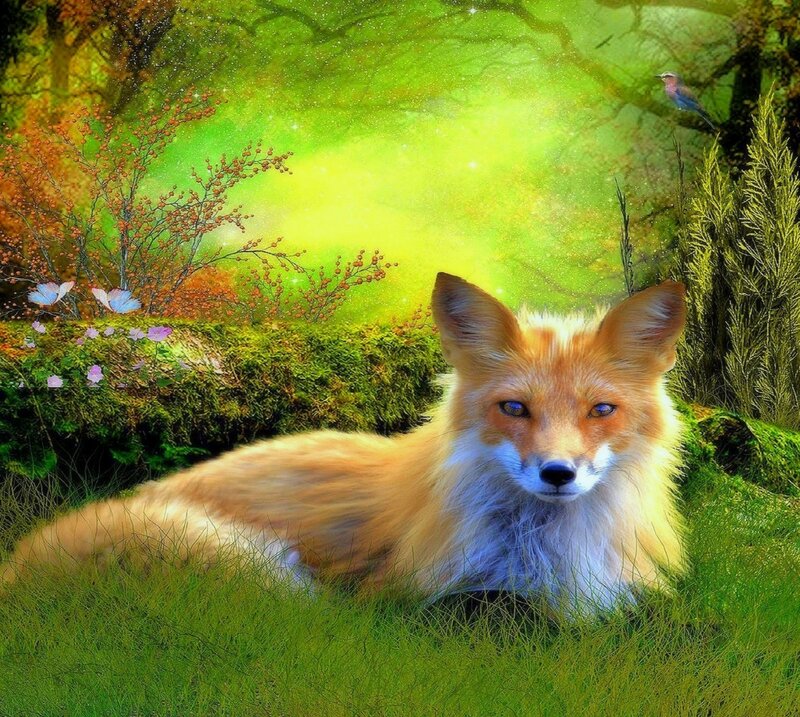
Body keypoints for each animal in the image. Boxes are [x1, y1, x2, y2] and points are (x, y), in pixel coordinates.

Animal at [1, 272, 688, 616]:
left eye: (602, 411)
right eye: (514, 408)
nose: (558, 473)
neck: (550, 552)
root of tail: (17, 567)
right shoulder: (414, 601)